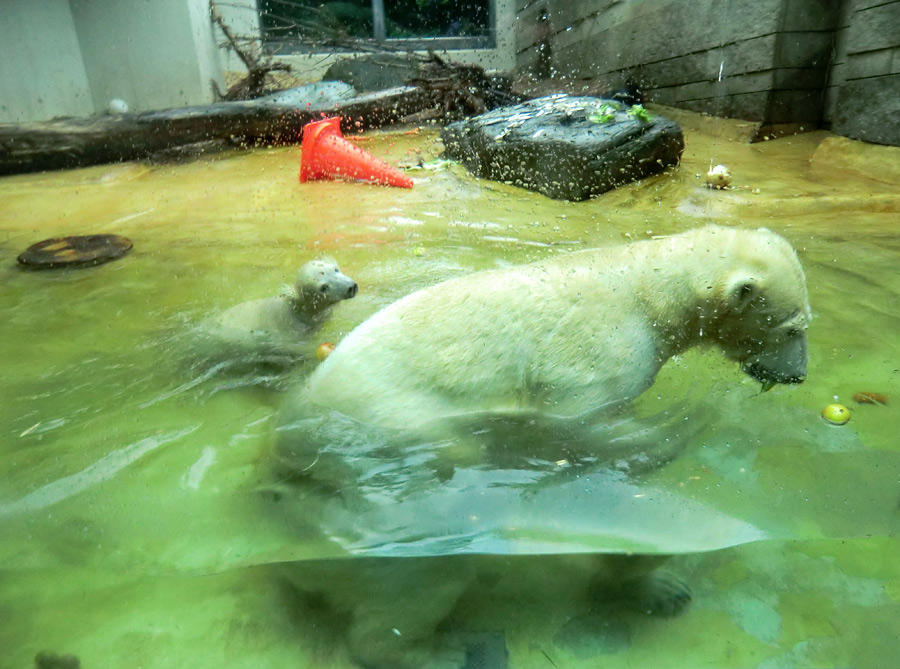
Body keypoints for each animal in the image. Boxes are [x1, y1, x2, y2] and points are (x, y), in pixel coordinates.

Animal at [272, 226, 808, 668]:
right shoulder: (596, 361)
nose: (799, 375)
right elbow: (588, 436)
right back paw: (437, 652)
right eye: (791, 328)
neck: (646, 291)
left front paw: (664, 587)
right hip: (402, 429)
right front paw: (689, 423)